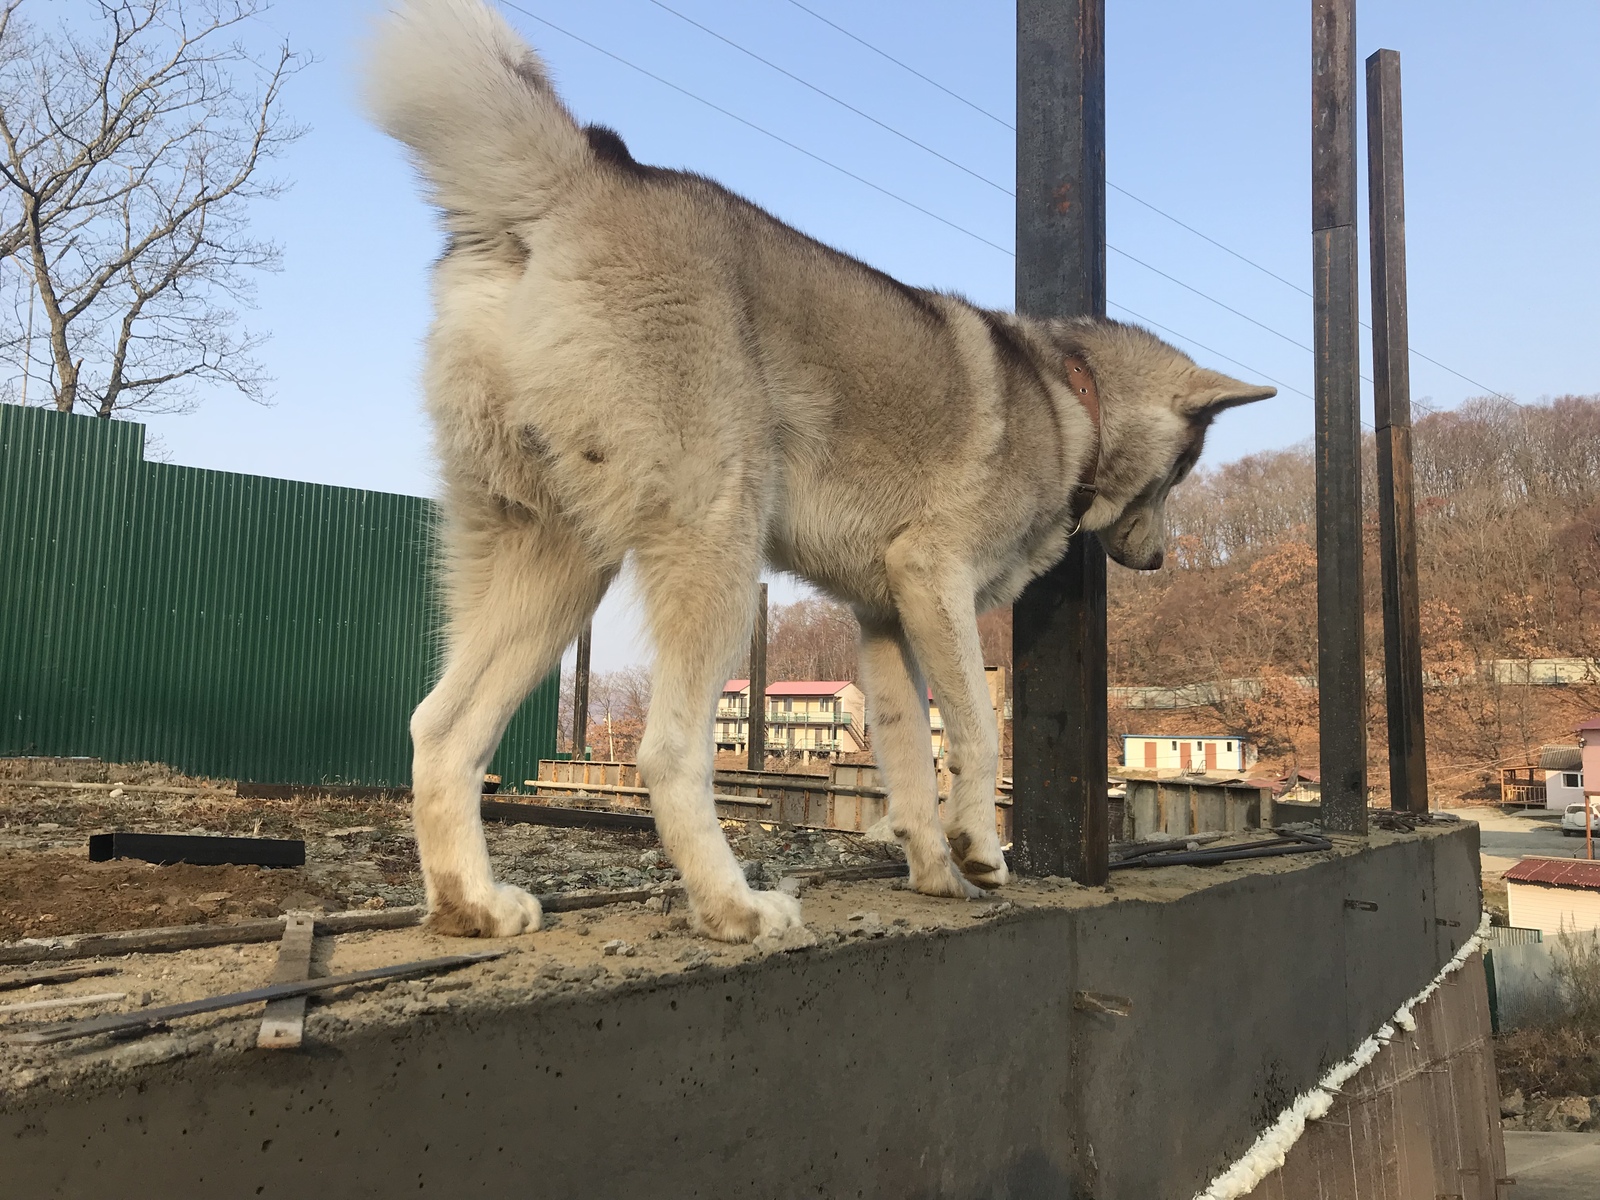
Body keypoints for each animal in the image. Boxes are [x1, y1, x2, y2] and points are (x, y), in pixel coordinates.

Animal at [363, 0, 1273, 947]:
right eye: (1185, 468)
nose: (1161, 560)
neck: (1072, 396)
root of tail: (581, 179)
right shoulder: (934, 580)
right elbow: (977, 735)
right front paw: (980, 849)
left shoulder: (887, 620)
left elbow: (910, 762)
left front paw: (934, 873)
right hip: (714, 554)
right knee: (669, 751)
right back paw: (731, 906)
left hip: (553, 566)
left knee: (442, 728)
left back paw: (470, 903)